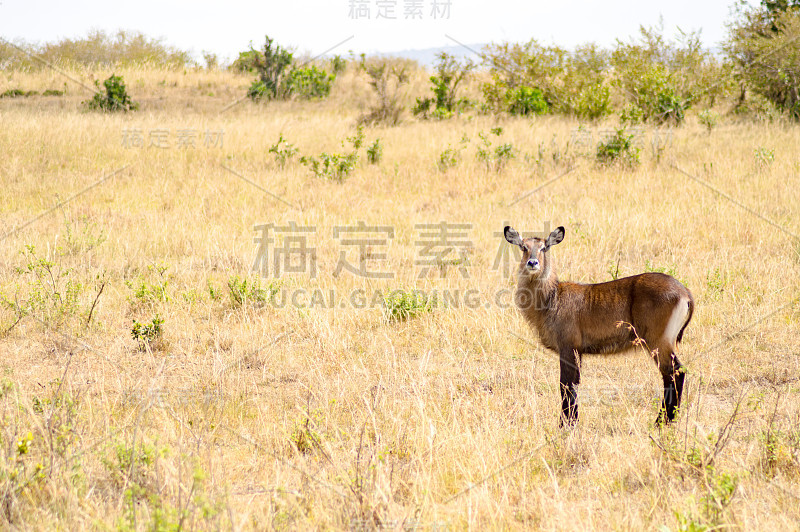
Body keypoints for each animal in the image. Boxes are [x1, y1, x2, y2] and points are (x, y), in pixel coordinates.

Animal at [506, 227, 692, 426]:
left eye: (544, 247)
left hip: (658, 342)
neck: (551, 297)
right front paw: (572, 421)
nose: (532, 263)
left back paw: (661, 422)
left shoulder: (568, 348)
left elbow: (566, 385)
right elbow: (574, 384)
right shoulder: (577, 351)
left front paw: (565, 425)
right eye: (524, 247)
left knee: (675, 373)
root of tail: (684, 291)